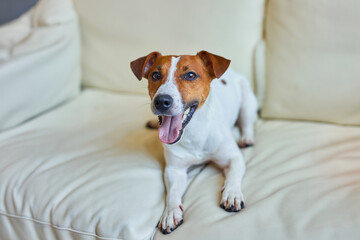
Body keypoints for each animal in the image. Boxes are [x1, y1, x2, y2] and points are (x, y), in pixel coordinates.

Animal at [131, 51, 258, 234]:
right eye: (155, 75)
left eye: (190, 75)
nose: (161, 101)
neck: (193, 132)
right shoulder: (174, 170)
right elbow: (172, 193)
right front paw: (170, 212)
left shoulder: (234, 158)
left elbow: (233, 175)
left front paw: (232, 194)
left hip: (247, 102)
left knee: (247, 123)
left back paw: (246, 138)